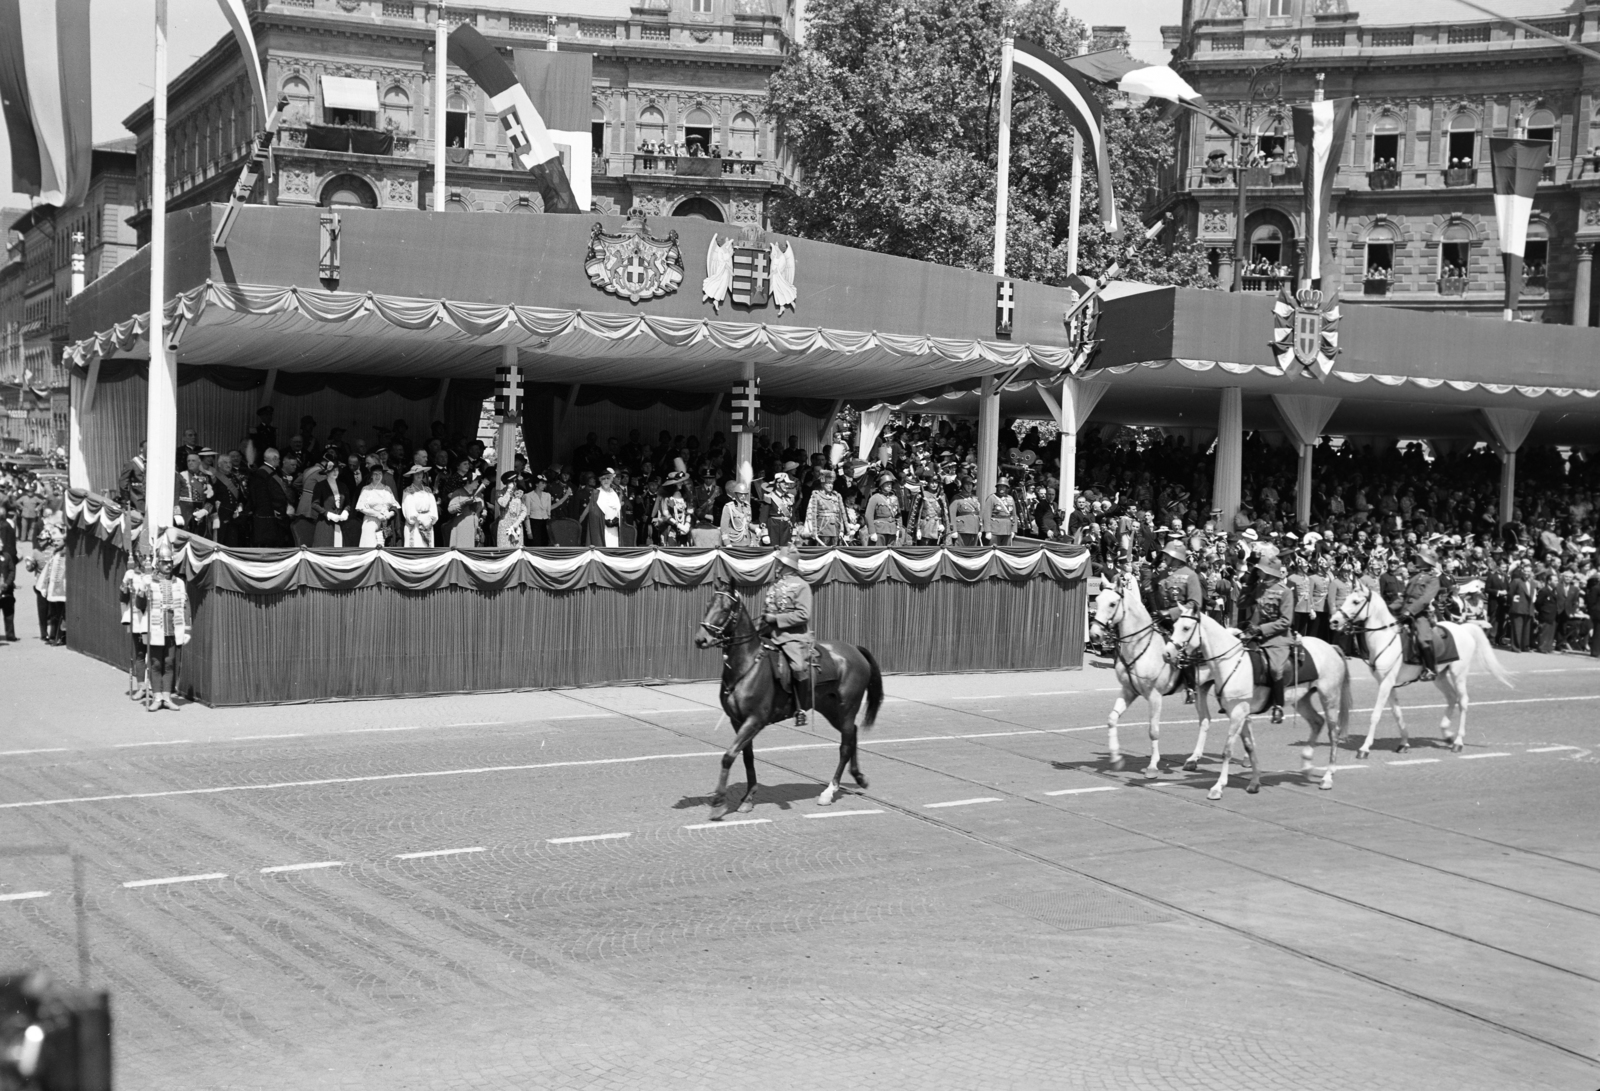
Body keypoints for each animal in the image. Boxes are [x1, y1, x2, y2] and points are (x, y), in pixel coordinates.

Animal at [691, 579, 889, 815]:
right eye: (708, 604)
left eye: (725, 608)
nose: (701, 639)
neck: (747, 665)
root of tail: (854, 649)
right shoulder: (738, 721)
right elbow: (747, 756)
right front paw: (748, 797)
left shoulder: (754, 720)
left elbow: (729, 756)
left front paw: (719, 803)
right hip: (832, 710)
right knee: (852, 734)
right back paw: (858, 777)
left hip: (847, 707)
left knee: (845, 745)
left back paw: (829, 791)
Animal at [1164, 607, 1350, 793]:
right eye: (1174, 625)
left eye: (1186, 628)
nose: (1166, 654)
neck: (1232, 663)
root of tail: (1330, 646)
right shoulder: (1240, 714)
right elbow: (1249, 746)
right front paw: (1254, 782)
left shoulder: (1238, 713)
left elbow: (1227, 750)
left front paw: (1218, 786)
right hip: (1302, 699)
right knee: (1317, 722)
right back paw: (1306, 765)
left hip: (1329, 697)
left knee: (1333, 733)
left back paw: (1327, 777)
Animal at [1324, 582, 1510, 751]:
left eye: (1355, 601)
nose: (1334, 621)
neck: (1385, 638)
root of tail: (1463, 628)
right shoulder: (1387, 683)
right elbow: (1396, 712)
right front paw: (1404, 742)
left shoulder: (1386, 683)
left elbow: (1376, 714)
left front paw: (1364, 748)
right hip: (1439, 676)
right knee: (1452, 698)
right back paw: (1447, 734)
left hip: (1459, 673)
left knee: (1463, 701)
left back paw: (1457, 741)